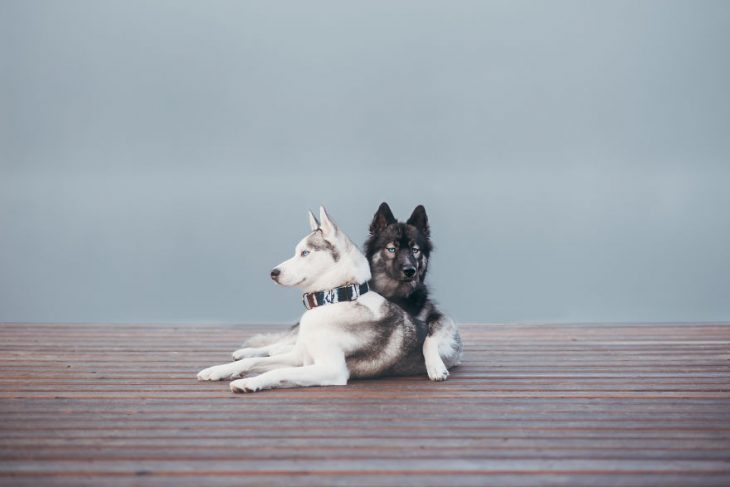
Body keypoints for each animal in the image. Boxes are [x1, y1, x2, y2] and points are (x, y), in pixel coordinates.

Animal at [196, 206, 458, 392]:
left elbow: (275, 373)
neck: (335, 299)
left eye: (305, 253)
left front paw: (249, 383)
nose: (273, 273)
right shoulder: (299, 357)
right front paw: (219, 370)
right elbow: (251, 363)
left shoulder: (330, 369)